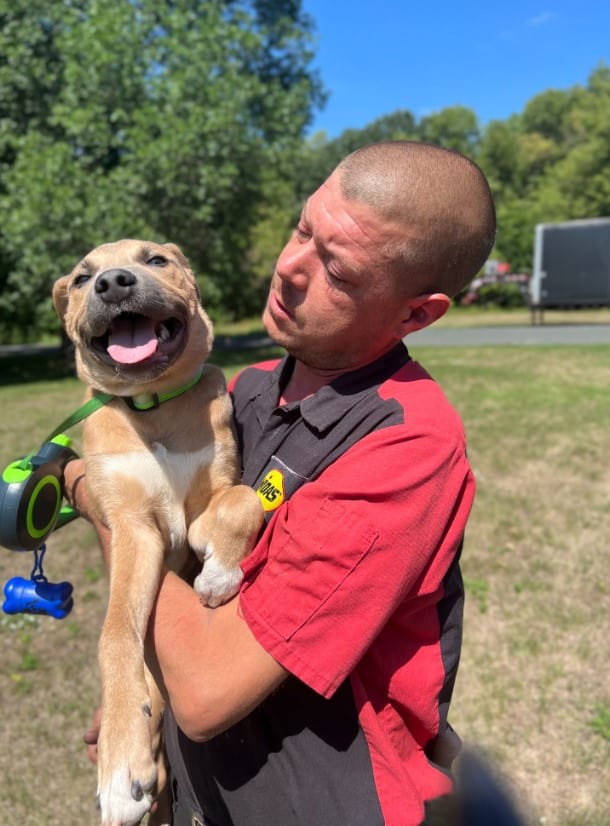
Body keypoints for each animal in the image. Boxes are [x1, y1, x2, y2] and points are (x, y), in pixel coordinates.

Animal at [52, 238, 262, 824]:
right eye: (83, 278)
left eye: (155, 260)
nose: (113, 283)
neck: (154, 405)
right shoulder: (131, 527)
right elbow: (115, 632)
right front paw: (120, 765)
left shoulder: (214, 493)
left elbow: (243, 501)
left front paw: (219, 573)